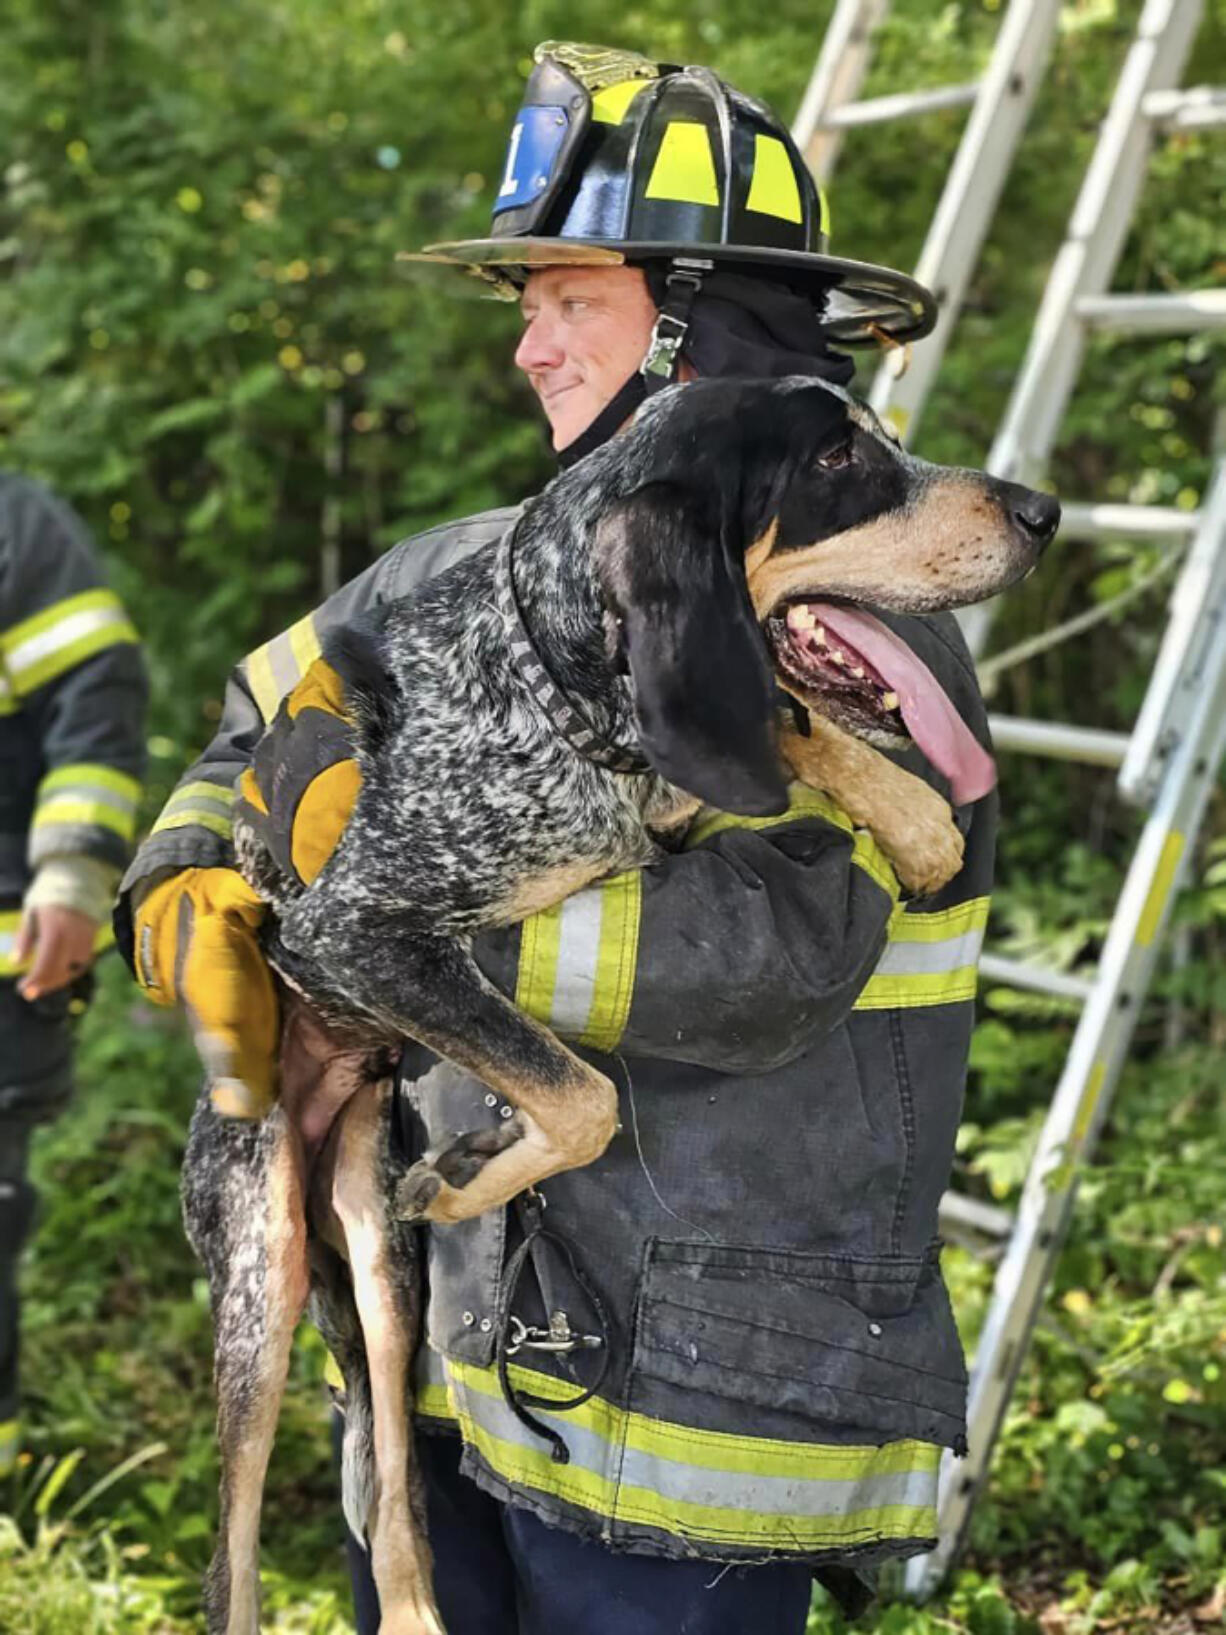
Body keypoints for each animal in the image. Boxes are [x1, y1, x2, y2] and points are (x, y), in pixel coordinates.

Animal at [179, 376, 1059, 1628]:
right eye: (836, 459)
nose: (1044, 513)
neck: (546, 690)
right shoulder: (355, 931)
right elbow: (582, 1094)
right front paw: (476, 1173)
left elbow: (777, 731)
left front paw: (911, 813)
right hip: (263, 1276)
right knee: (234, 1562)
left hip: (381, 1271)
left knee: (394, 1493)